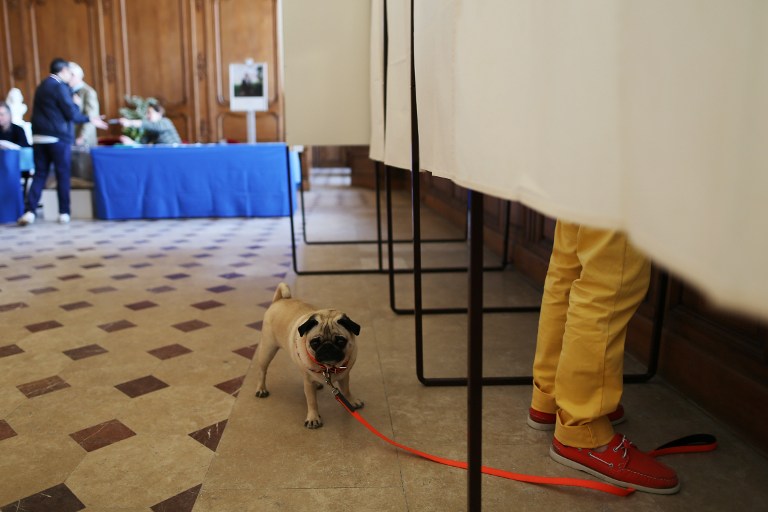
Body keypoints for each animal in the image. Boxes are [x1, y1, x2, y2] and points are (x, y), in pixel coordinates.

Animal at [255, 284, 364, 428]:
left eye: (341, 341)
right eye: (315, 342)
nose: (327, 347)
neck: (328, 368)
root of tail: (279, 300)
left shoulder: (344, 376)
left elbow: (346, 390)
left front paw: (351, 401)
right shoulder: (308, 383)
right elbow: (312, 401)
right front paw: (313, 418)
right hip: (267, 350)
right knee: (262, 371)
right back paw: (261, 389)